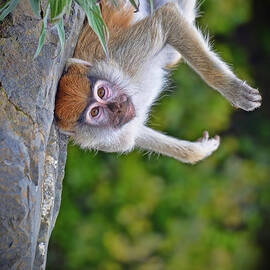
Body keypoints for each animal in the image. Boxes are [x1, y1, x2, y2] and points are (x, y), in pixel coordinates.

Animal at [54, 0, 262, 163]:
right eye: (95, 112)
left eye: (101, 92)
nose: (118, 107)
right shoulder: (110, 139)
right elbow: (134, 134)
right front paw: (196, 151)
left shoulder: (122, 57)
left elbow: (166, 19)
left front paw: (233, 90)